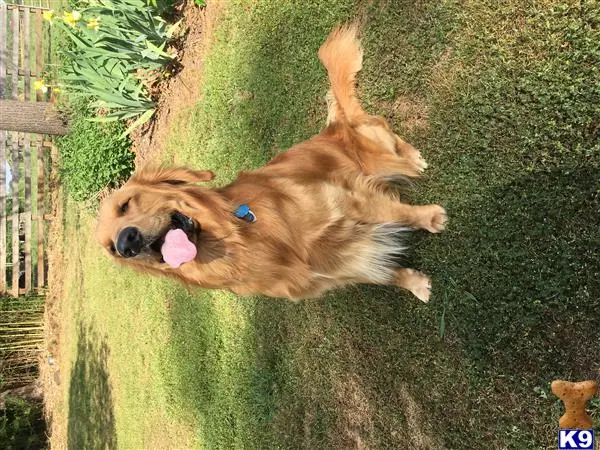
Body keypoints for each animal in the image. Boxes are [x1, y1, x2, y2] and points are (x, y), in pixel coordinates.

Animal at [96, 26, 448, 304]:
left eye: (126, 204)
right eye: (111, 251)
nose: (126, 243)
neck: (241, 237)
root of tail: (335, 126)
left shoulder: (344, 199)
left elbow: (397, 213)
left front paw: (430, 217)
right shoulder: (330, 270)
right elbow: (379, 272)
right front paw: (412, 282)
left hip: (376, 147)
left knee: (382, 128)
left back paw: (412, 158)